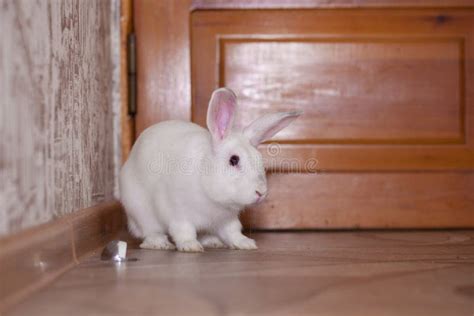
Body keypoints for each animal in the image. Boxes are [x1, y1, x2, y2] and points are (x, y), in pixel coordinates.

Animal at [120, 87, 302, 252]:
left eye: (260, 159)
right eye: (234, 160)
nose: (261, 192)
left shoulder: (227, 219)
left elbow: (233, 232)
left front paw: (246, 243)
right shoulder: (178, 214)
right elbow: (184, 232)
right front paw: (190, 246)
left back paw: (213, 242)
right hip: (142, 212)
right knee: (150, 231)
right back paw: (160, 243)